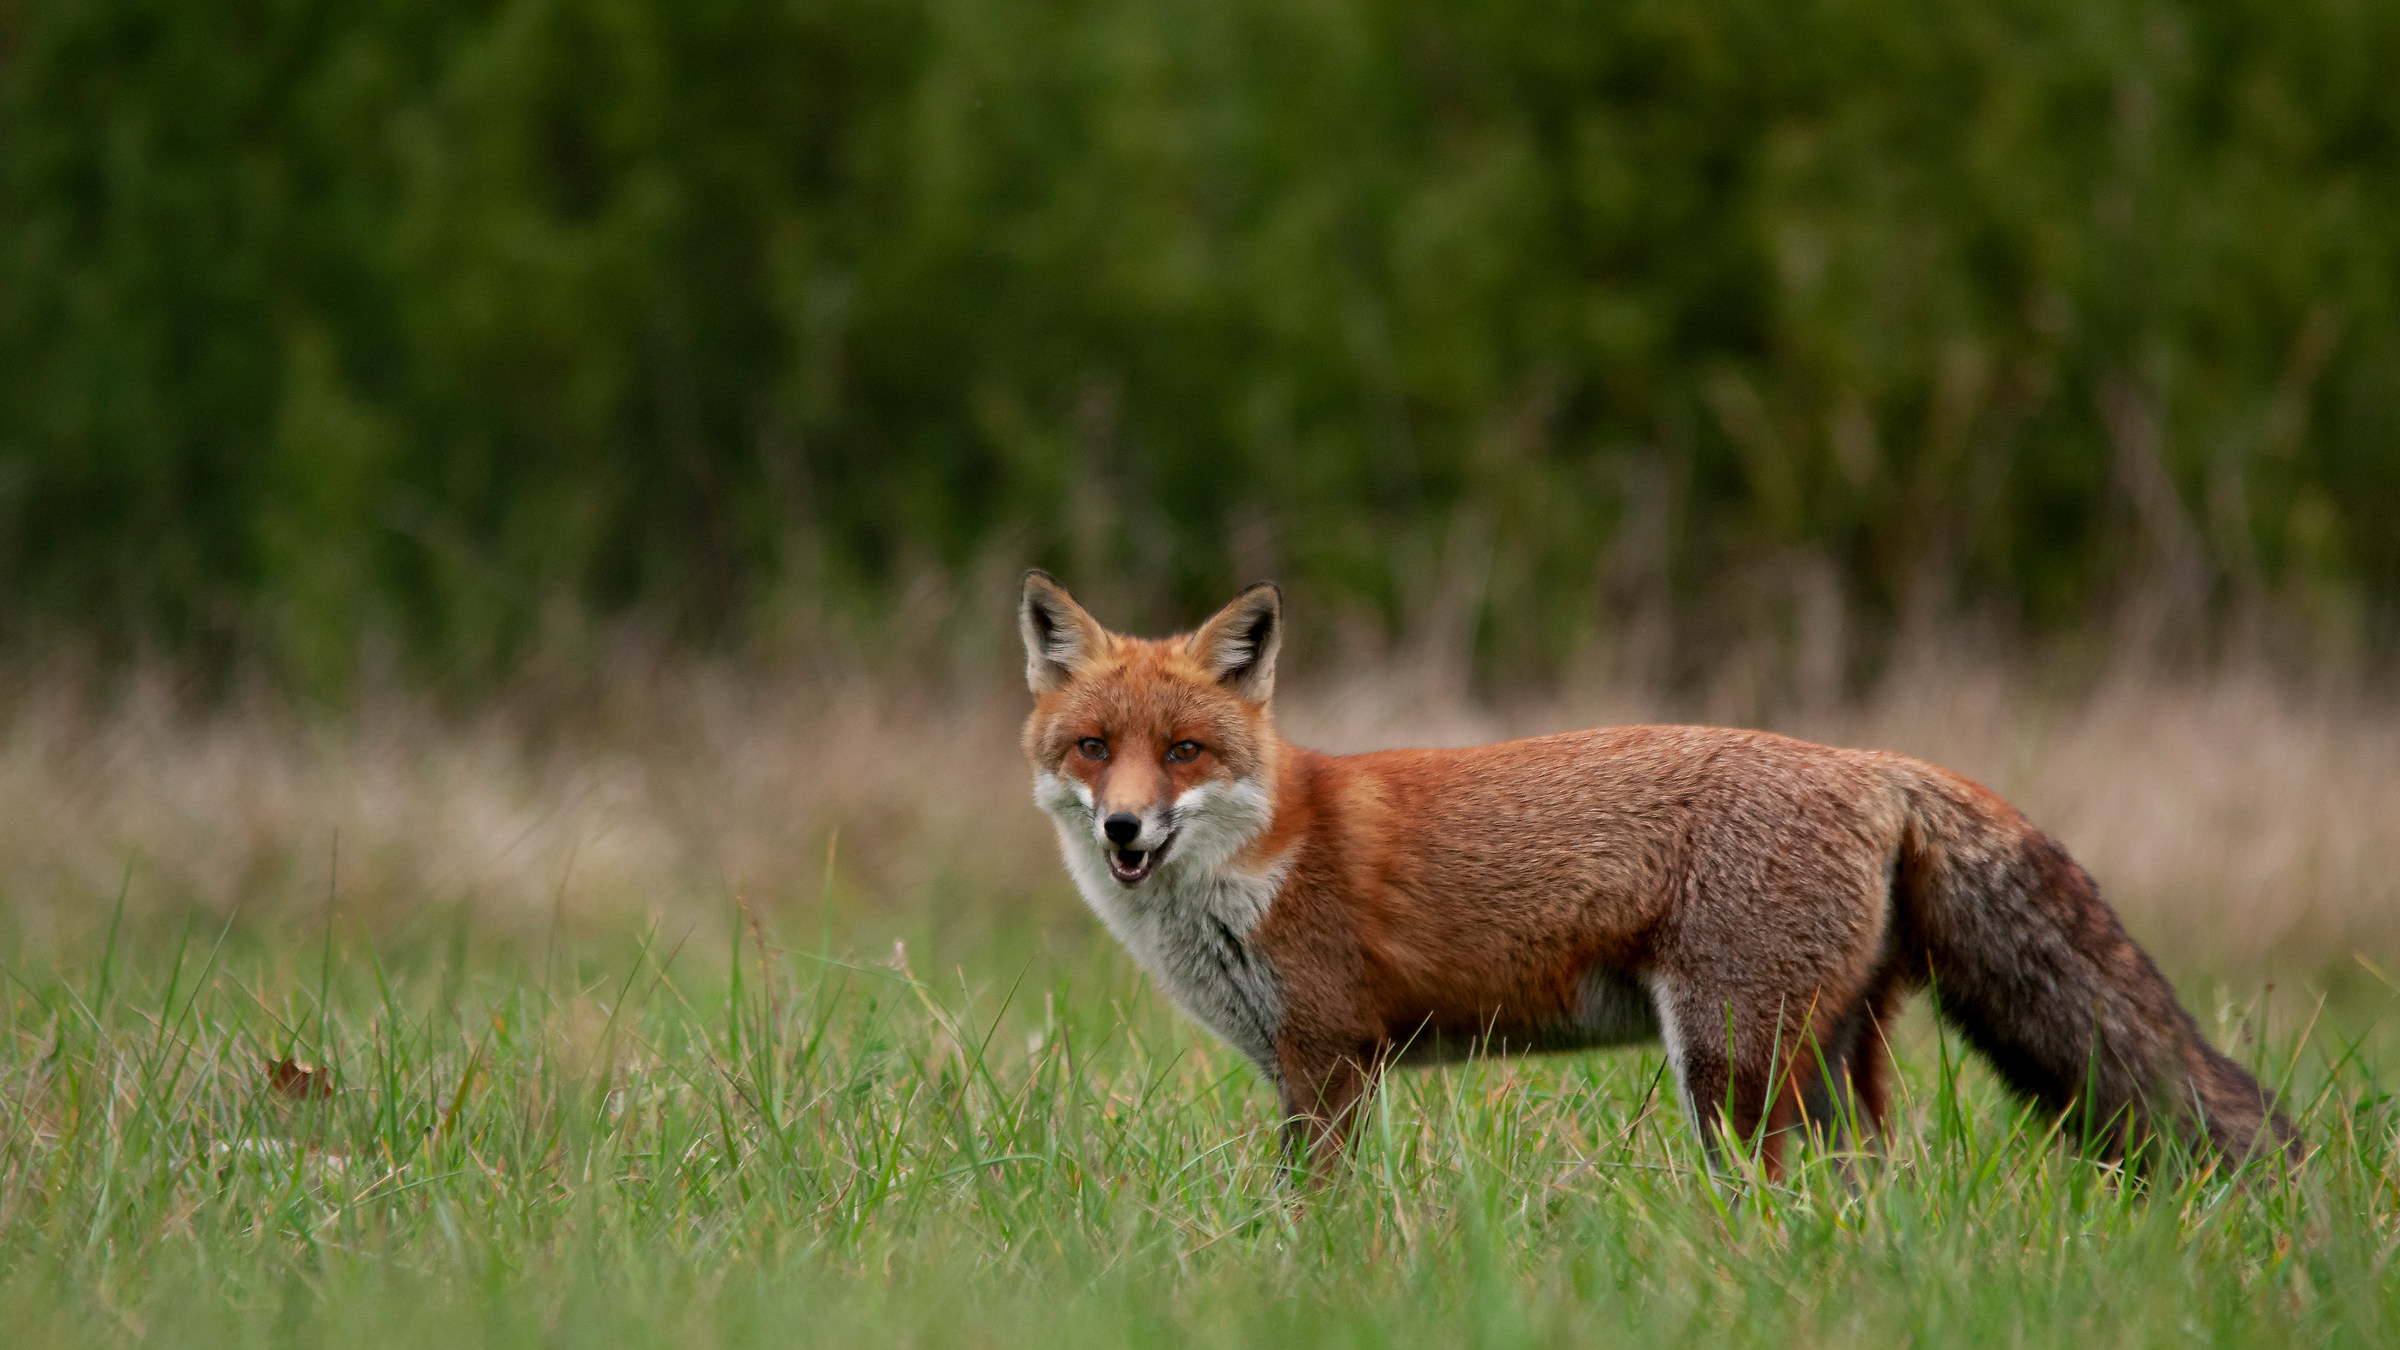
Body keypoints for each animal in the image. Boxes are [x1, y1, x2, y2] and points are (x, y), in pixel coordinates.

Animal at [1017, 570, 2301, 1180]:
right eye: (1093, 747)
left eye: (1186, 752)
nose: (1126, 827)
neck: (1265, 856)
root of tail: (1873, 762)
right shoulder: (1318, 1069)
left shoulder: (1330, 1060)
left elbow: (1313, 1215)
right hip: (1830, 1065)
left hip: (1729, 1063)